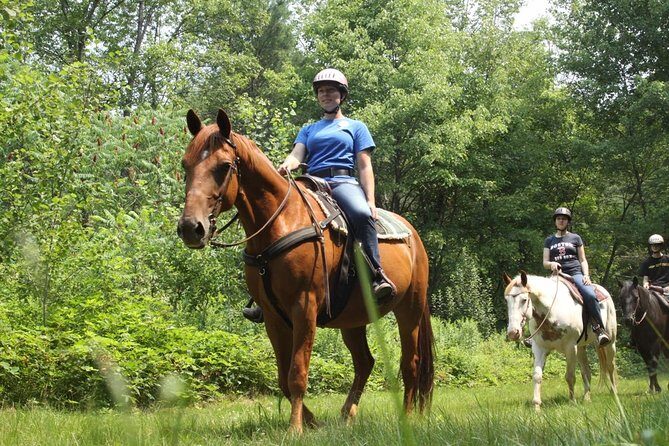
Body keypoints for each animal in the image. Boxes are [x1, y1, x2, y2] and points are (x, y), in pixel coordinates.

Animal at [176, 109, 434, 433]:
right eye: (185, 164)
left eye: (224, 167)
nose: (190, 228)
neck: (280, 222)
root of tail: (414, 237)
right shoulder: (272, 316)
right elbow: (283, 376)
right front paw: (311, 422)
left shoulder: (304, 307)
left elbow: (297, 372)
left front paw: (295, 429)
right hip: (353, 319)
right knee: (364, 362)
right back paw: (347, 415)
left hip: (409, 309)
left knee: (410, 362)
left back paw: (408, 417)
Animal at [503, 271, 617, 410]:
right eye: (506, 300)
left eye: (524, 300)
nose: (513, 333)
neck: (551, 312)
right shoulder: (539, 348)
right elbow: (537, 376)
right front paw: (536, 406)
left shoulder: (570, 347)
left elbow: (570, 376)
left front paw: (572, 402)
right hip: (581, 348)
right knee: (586, 371)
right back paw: (587, 398)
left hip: (610, 342)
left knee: (610, 366)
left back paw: (614, 393)